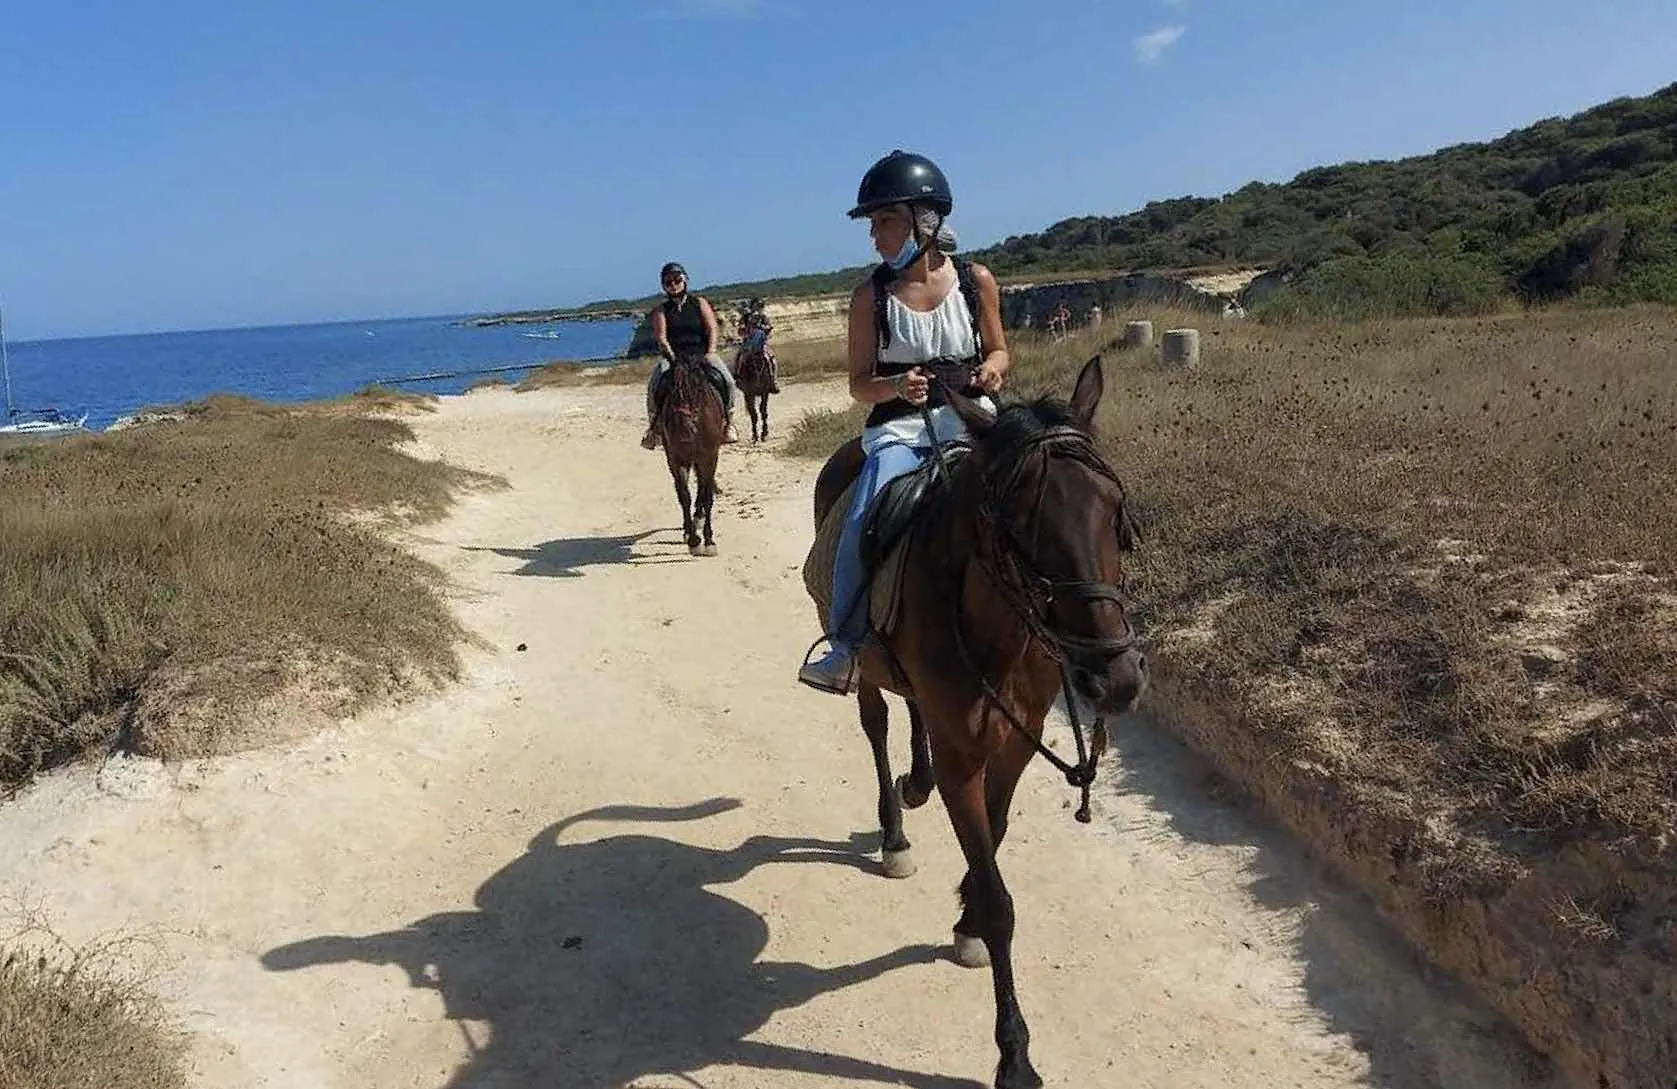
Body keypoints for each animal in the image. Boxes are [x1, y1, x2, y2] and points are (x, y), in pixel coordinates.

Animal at [655, 351, 727, 556]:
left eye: (697, 388)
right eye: (670, 389)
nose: (682, 431)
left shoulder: (710, 456)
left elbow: (707, 496)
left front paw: (709, 540)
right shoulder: (675, 458)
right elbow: (684, 496)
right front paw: (693, 539)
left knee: (703, 488)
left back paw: (699, 519)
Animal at [802, 356, 1147, 1089]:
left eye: (1114, 511)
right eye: (1019, 524)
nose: (1116, 676)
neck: (1000, 627)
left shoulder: (1013, 744)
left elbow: (996, 834)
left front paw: (963, 918)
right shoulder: (964, 753)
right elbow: (997, 898)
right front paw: (1014, 1054)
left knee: (910, 709)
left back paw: (915, 782)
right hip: (858, 663)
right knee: (876, 719)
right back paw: (894, 830)